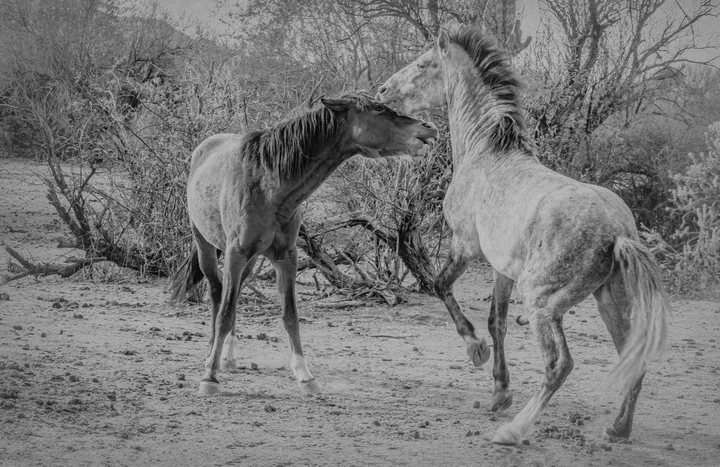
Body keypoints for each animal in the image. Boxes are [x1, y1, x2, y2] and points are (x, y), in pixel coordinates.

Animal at [168, 92, 438, 396]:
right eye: (379, 108)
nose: (428, 127)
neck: (269, 185)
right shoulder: (236, 254)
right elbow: (225, 312)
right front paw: (210, 377)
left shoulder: (286, 257)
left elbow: (290, 316)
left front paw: (305, 375)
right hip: (206, 245)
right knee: (217, 294)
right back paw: (211, 356)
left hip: (249, 260)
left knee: (233, 294)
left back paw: (228, 357)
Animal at [376, 26, 670, 444]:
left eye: (422, 63)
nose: (383, 89)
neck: (485, 152)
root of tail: (618, 232)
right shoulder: (502, 268)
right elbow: (496, 322)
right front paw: (500, 392)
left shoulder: (464, 246)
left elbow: (440, 286)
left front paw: (476, 351)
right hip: (610, 300)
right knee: (632, 357)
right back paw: (617, 429)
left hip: (541, 303)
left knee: (559, 364)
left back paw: (513, 430)